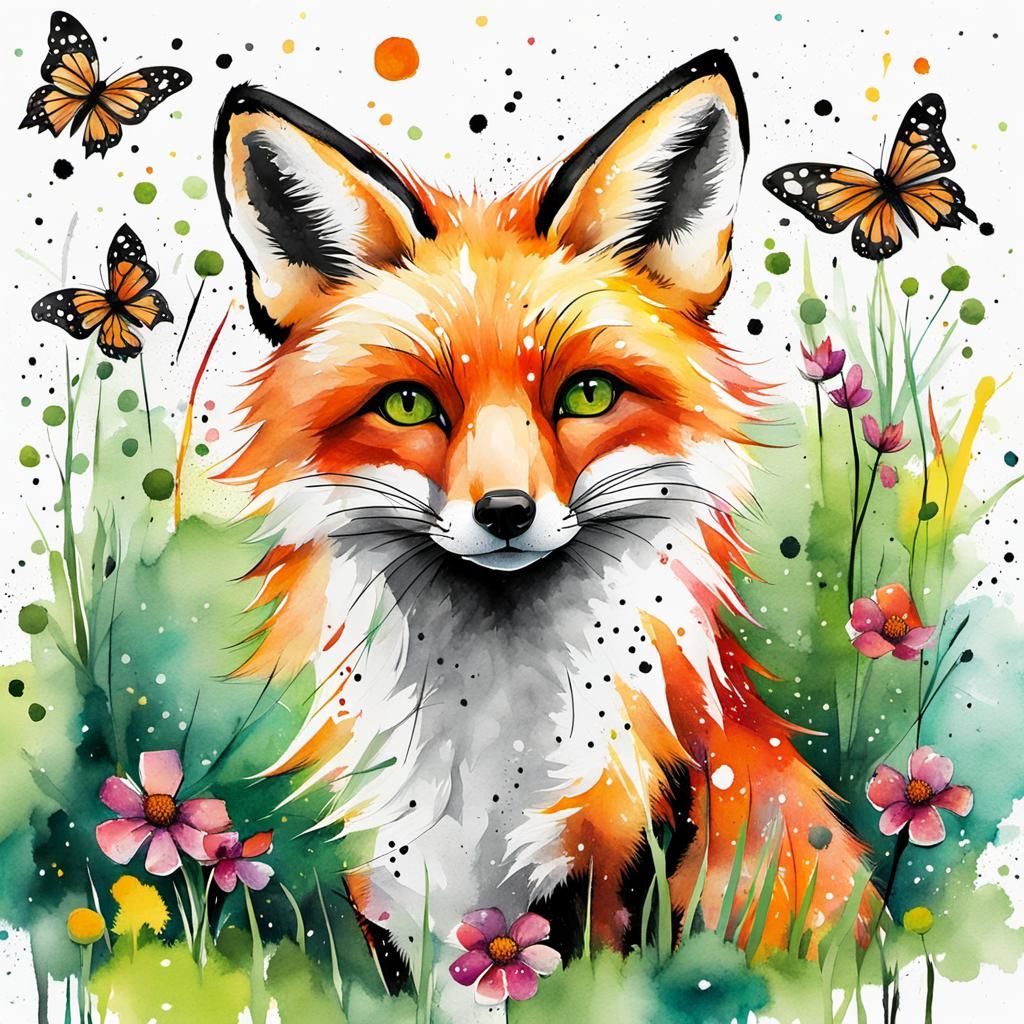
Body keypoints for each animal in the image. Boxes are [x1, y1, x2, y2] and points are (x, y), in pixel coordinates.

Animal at [213, 49, 870, 1019]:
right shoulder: (404, 906)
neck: (489, 751)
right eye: (408, 406)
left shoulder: (610, 881)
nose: (506, 514)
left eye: (587, 394)